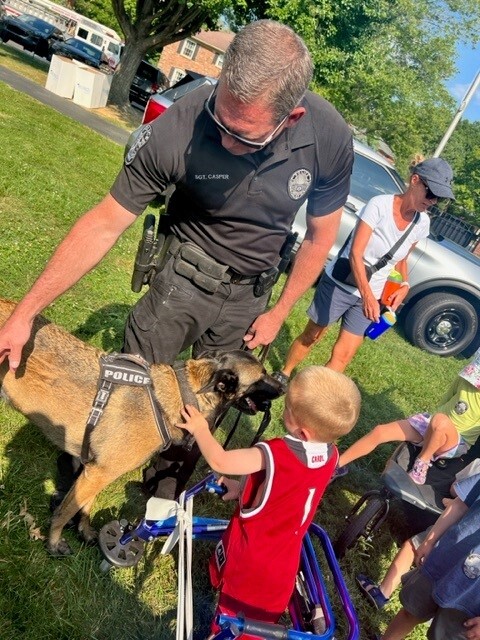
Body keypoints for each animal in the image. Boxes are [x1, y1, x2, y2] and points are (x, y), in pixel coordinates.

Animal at [0, 300, 284, 556]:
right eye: (262, 376)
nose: (283, 385)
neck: (183, 394)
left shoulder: (96, 472)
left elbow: (85, 505)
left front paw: (85, 531)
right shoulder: (98, 472)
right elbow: (65, 510)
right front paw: (54, 542)